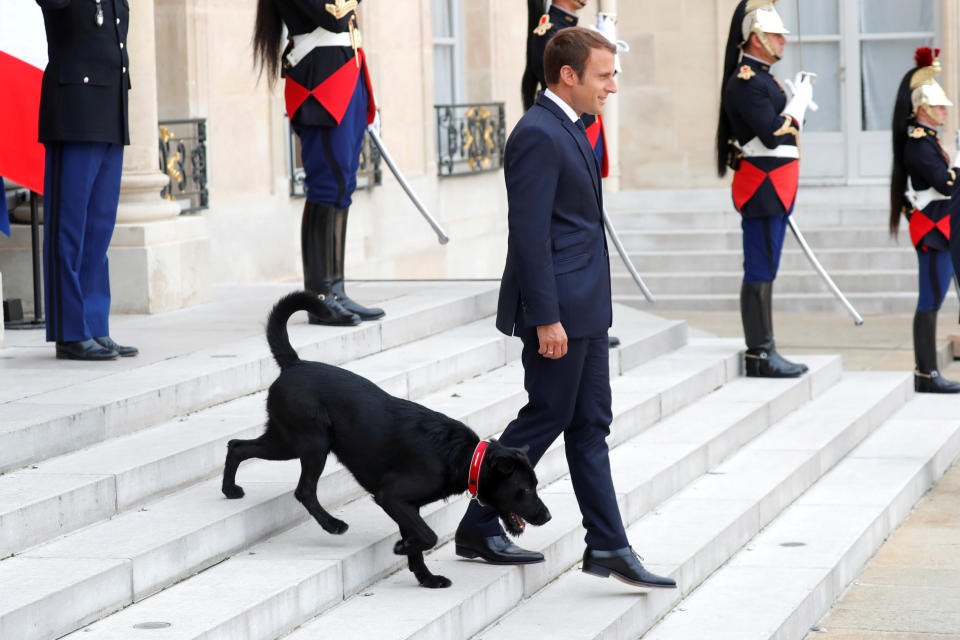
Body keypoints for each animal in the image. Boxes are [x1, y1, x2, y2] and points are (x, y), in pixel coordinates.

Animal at [224, 292, 552, 588]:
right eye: (524, 489)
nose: (547, 516)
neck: (463, 455)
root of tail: (294, 363)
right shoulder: (392, 497)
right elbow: (427, 536)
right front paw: (402, 549)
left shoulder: (407, 506)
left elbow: (418, 540)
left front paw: (426, 578)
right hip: (308, 443)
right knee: (302, 489)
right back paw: (331, 524)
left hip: (284, 439)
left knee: (237, 446)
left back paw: (230, 490)